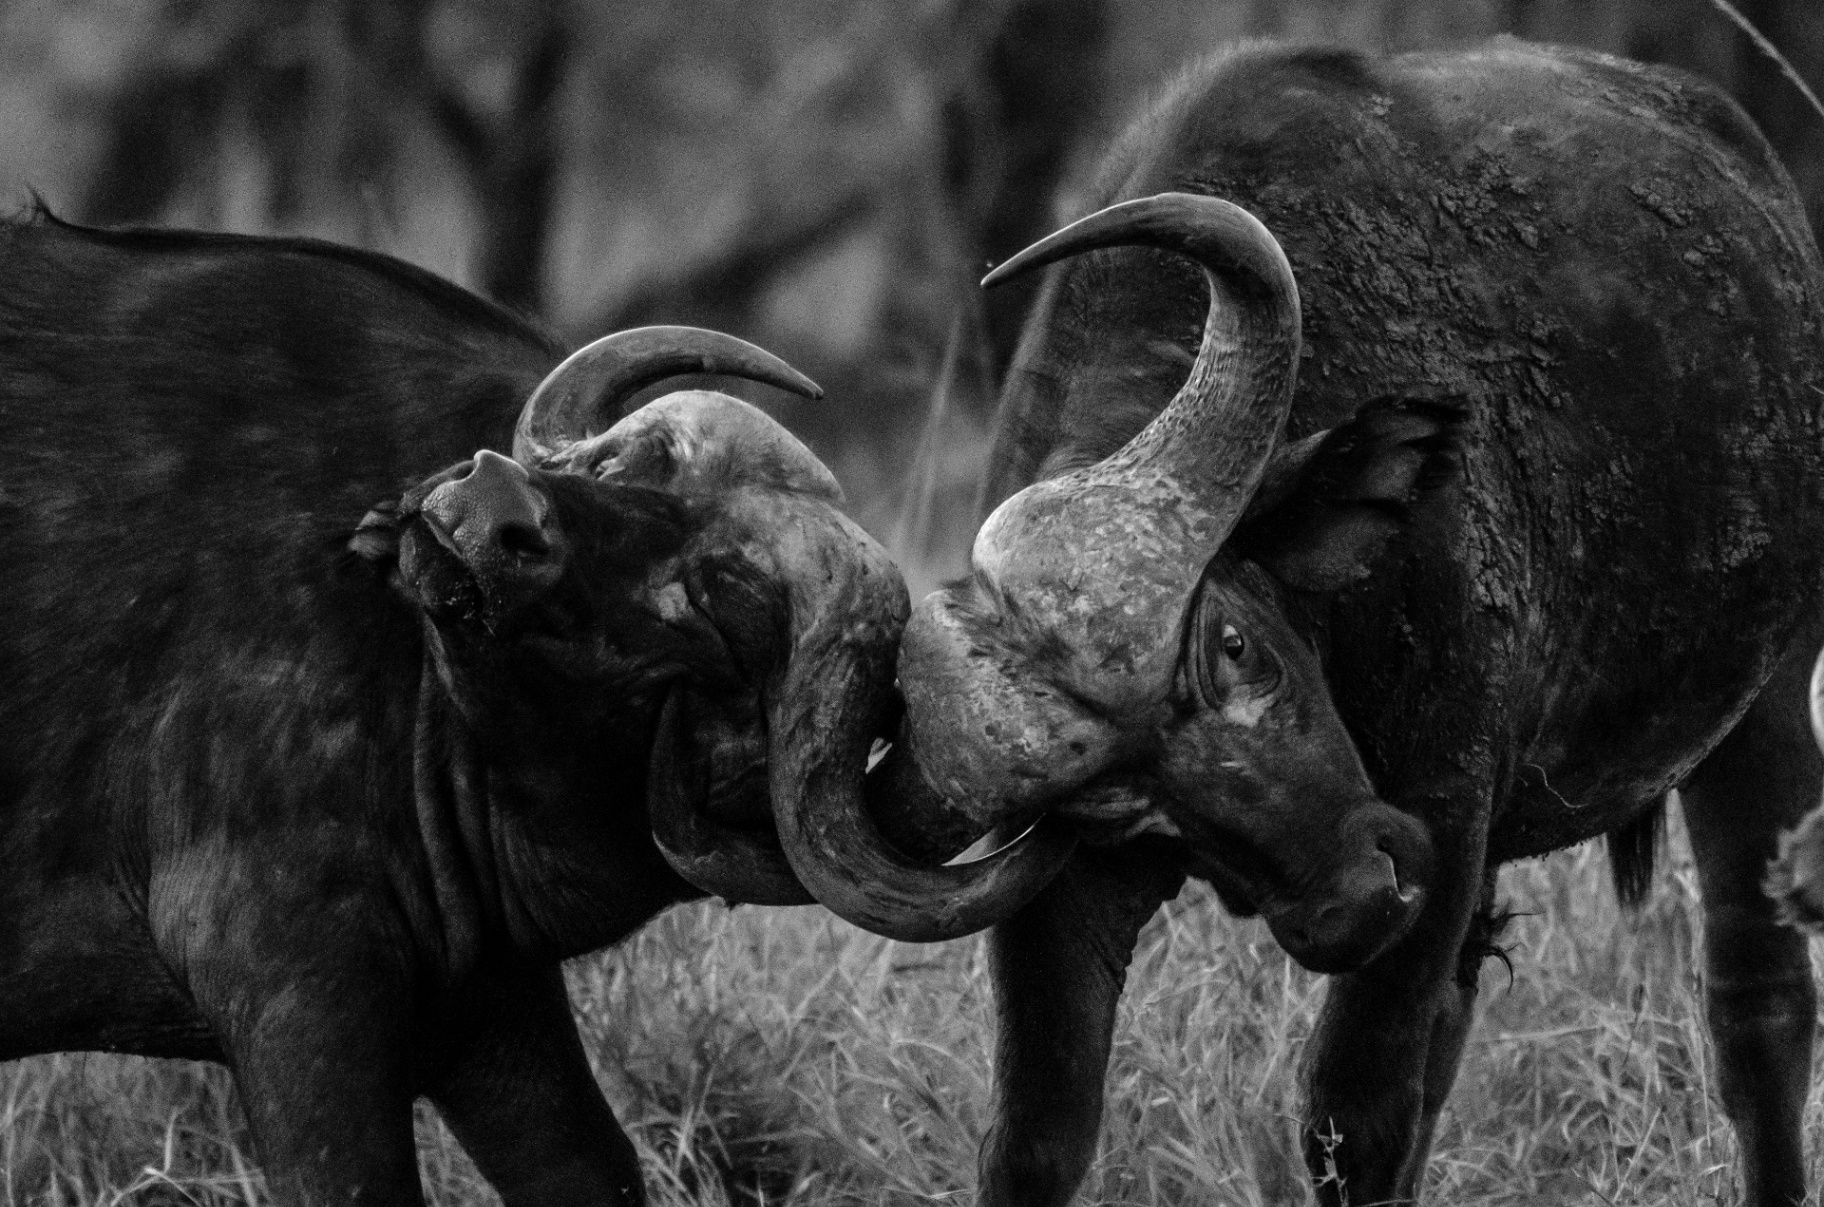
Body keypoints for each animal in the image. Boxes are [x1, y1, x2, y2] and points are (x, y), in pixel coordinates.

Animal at [0, 213, 1050, 1204]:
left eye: (727, 597)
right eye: (622, 465)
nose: (490, 506)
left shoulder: (481, 1002)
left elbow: (588, 1165)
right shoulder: (295, 986)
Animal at [825, 39, 1824, 1207]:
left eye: (1233, 643)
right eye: (1118, 806)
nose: (1356, 894)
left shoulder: (1445, 811)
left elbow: (1354, 1111)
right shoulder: (1070, 895)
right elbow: (1036, 1130)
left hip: (1763, 706)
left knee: (1758, 1003)